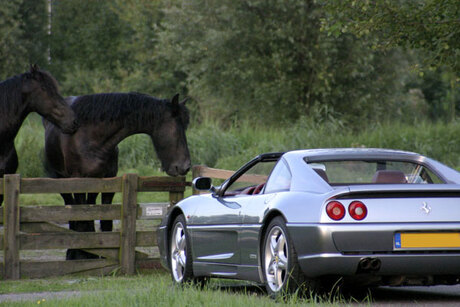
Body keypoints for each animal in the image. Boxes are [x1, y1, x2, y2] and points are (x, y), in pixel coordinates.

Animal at [44, 92, 191, 260]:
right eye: (177, 128)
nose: (185, 166)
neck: (91, 136)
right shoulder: (78, 182)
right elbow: (81, 218)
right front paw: (81, 254)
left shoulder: (109, 181)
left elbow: (105, 220)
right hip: (60, 180)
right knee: (71, 208)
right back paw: (74, 252)